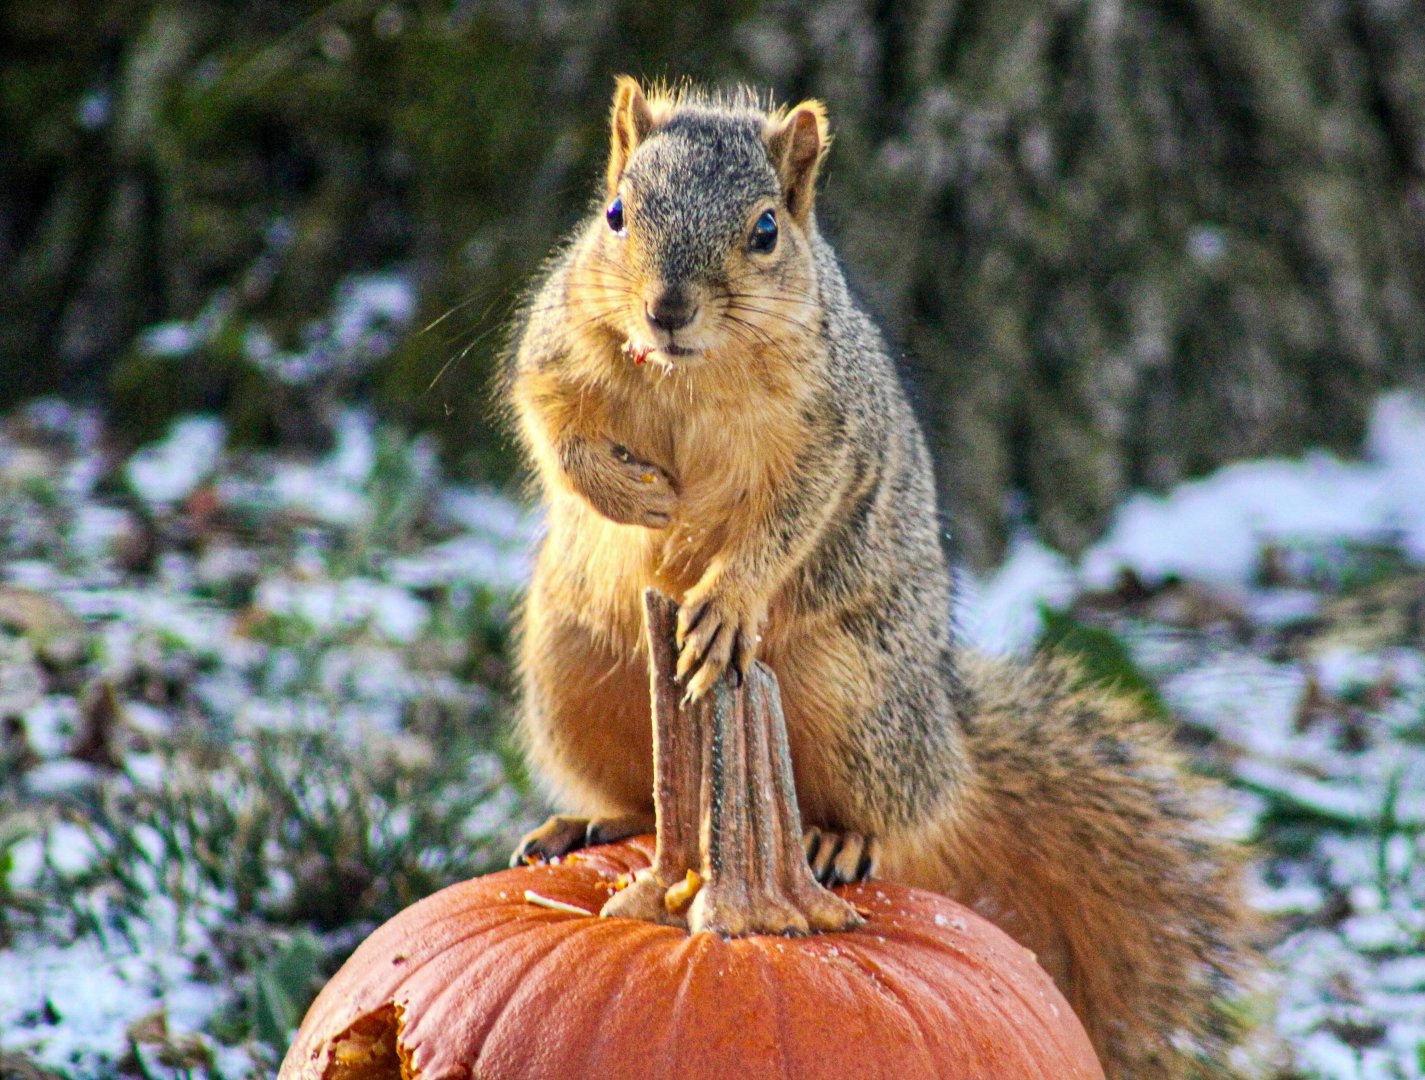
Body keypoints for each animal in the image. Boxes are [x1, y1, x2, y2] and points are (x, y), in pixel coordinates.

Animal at [506, 78, 1258, 1078]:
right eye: (616, 213)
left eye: (765, 230)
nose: (666, 308)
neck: (686, 373)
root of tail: (948, 742)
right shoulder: (555, 347)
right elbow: (550, 427)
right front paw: (632, 494)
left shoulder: (833, 433)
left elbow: (788, 519)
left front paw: (725, 601)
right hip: (571, 671)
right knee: (645, 795)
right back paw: (593, 826)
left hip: (852, 692)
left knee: (892, 813)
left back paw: (836, 837)